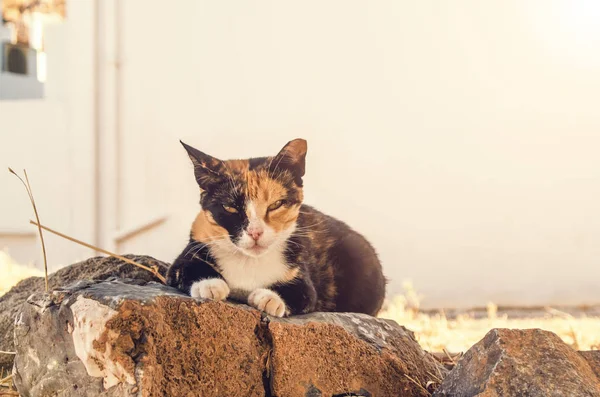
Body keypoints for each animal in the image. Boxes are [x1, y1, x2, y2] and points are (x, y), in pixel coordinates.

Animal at [166, 138, 386, 316]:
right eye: (229, 207)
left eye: (275, 205)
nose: (255, 232)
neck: (250, 263)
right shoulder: (193, 245)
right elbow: (185, 267)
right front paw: (211, 284)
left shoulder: (303, 273)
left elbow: (303, 293)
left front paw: (269, 297)